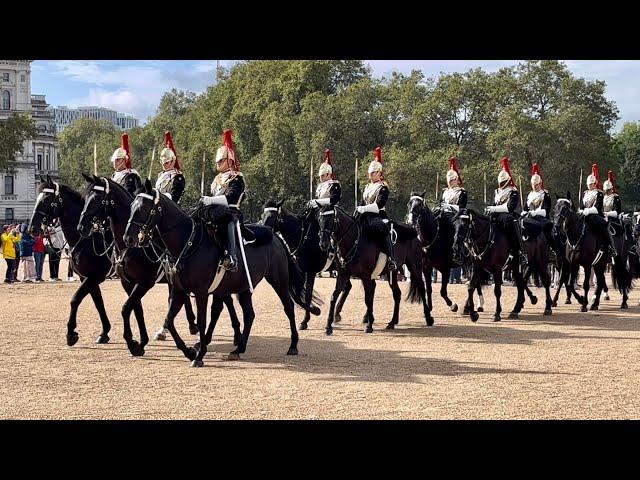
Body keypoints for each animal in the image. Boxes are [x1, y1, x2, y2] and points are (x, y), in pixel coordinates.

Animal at [28, 174, 112, 346]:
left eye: (46, 199)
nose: (32, 229)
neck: (86, 239)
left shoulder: (94, 277)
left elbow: (75, 299)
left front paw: (71, 333)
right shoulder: (86, 277)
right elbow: (98, 302)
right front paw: (104, 332)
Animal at [76, 174, 244, 354]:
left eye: (96, 199)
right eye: (86, 197)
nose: (81, 227)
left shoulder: (144, 282)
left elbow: (127, 308)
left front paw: (133, 343)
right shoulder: (127, 282)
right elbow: (135, 308)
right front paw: (140, 342)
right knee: (222, 301)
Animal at [123, 180, 320, 368]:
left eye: (142, 208)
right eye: (131, 206)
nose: (129, 239)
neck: (188, 243)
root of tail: (276, 236)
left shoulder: (201, 292)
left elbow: (202, 321)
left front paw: (199, 355)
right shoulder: (179, 290)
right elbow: (170, 321)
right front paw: (189, 351)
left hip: (279, 281)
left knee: (288, 307)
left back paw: (293, 345)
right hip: (244, 288)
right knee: (249, 314)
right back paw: (238, 348)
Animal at [258, 199, 352, 330]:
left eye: (271, 216)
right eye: (262, 215)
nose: (263, 231)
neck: (303, 238)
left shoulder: (310, 271)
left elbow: (307, 295)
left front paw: (306, 319)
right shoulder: (302, 271)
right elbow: (298, 296)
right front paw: (314, 311)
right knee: (347, 288)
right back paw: (337, 314)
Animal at [318, 202, 428, 334]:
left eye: (330, 220)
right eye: (319, 219)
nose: (323, 244)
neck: (354, 241)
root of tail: (413, 232)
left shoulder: (365, 276)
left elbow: (368, 299)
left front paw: (369, 326)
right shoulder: (343, 275)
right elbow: (334, 296)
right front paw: (328, 326)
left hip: (414, 267)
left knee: (421, 287)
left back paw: (429, 318)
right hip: (392, 273)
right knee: (397, 294)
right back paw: (392, 322)